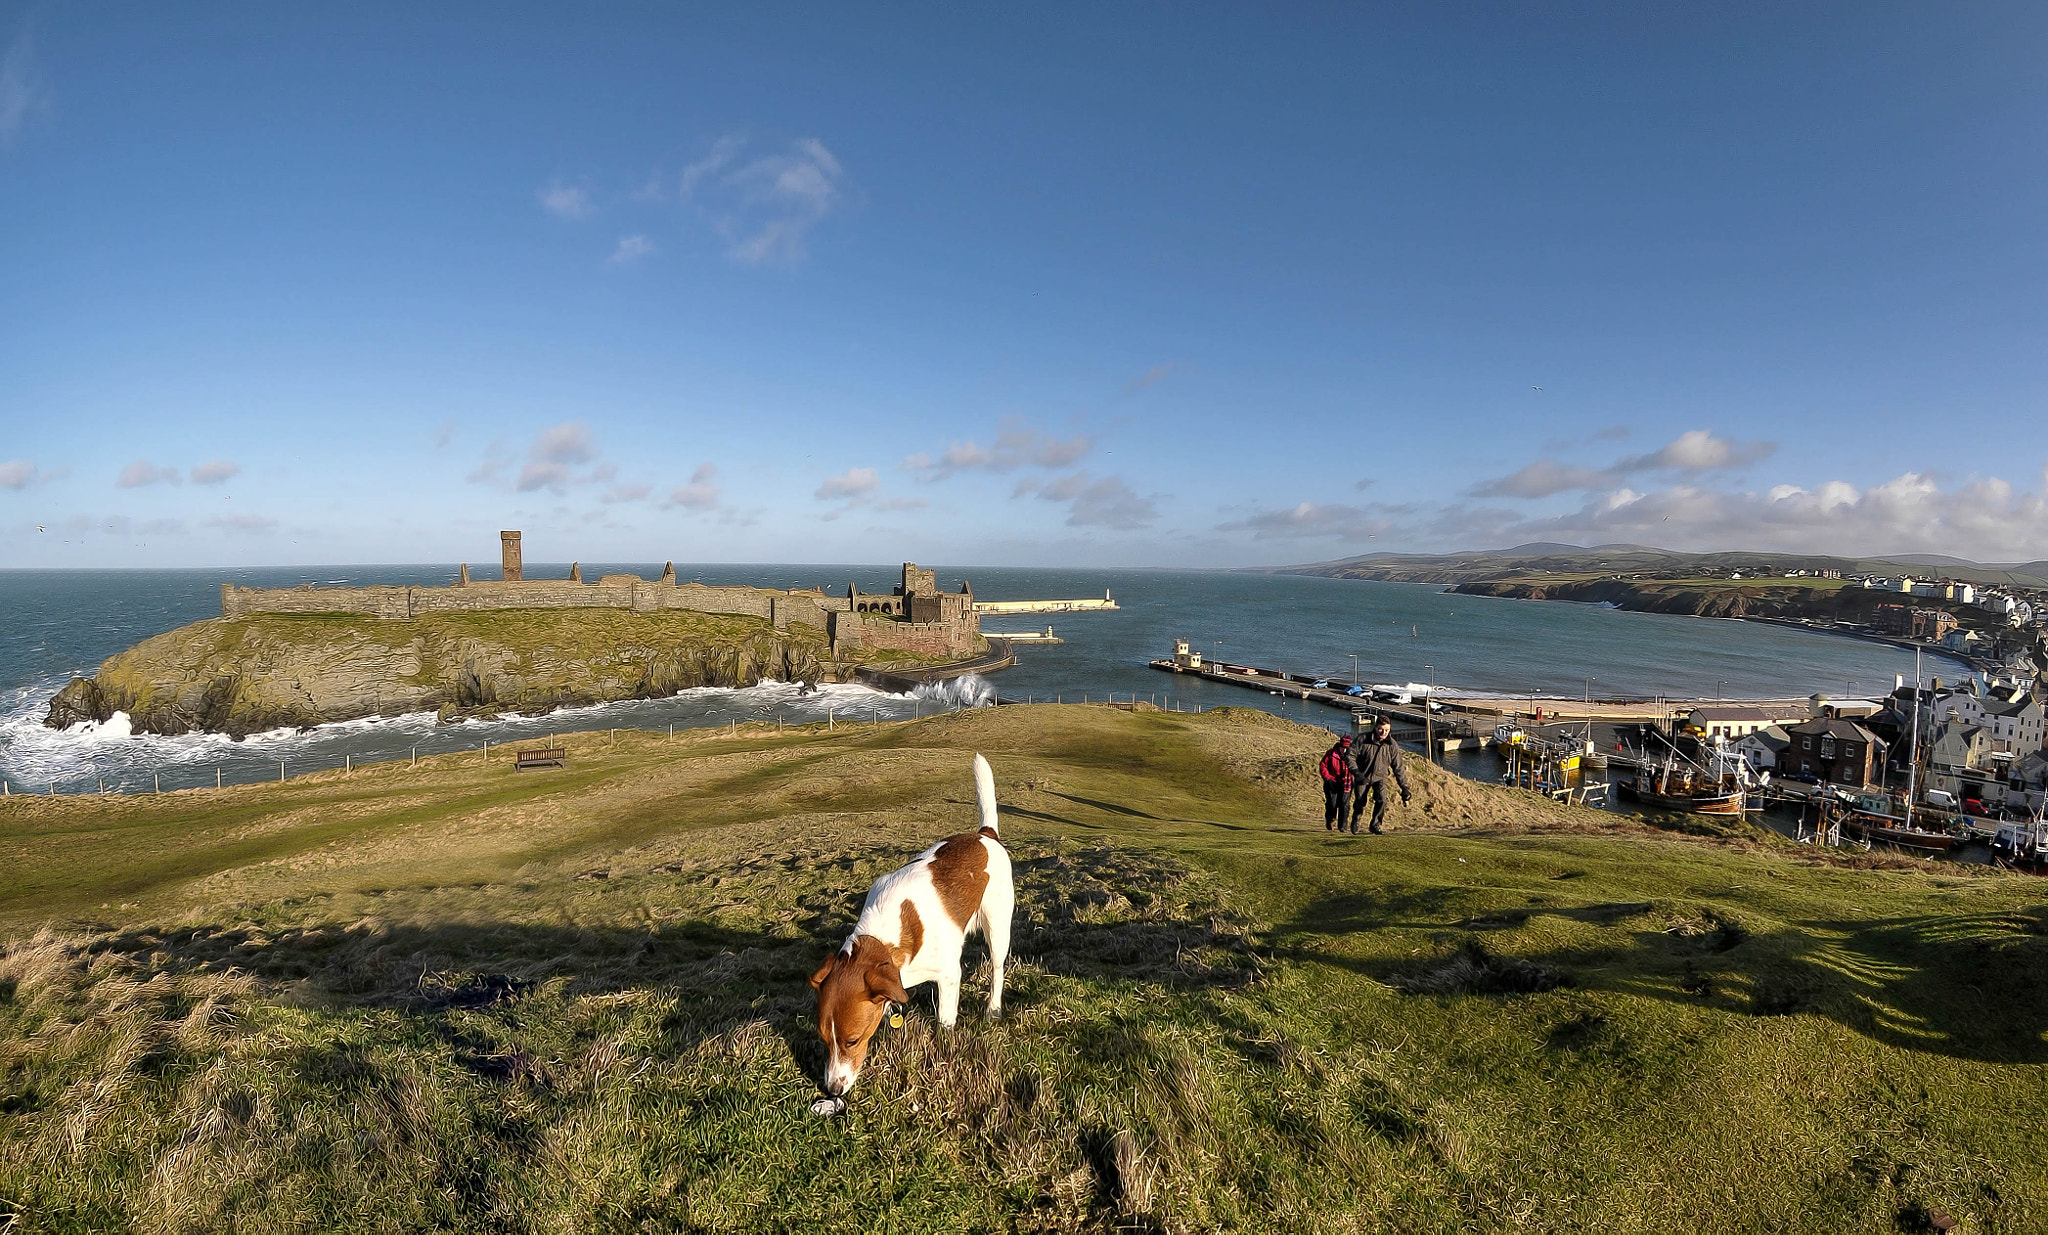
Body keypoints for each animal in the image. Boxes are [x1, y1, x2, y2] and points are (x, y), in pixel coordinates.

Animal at [806, 749, 1015, 1097]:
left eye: (852, 1041)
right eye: (823, 1040)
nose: (832, 1090)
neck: (882, 937)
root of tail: (986, 835)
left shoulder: (948, 976)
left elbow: (945, 1019)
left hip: (998, 928)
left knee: (997, 970)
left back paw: (993, 1008)